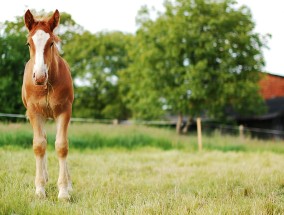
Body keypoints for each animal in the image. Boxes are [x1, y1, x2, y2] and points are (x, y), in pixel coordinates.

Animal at [22, 9, 74, 199]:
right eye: (28, 43)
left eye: (51, 43)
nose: (39, 76)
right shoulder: (34, 112)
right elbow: (39, 145)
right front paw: (39, 189)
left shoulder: (64, 111)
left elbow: (62, 146)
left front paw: (64, 191)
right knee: (42, 140)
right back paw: (44, 177)